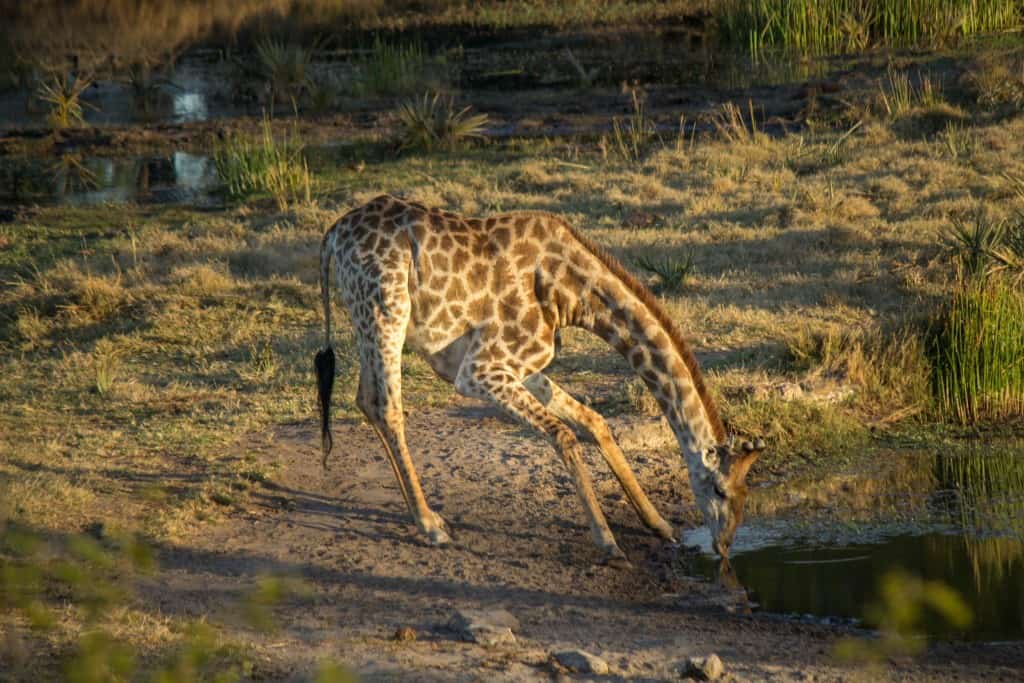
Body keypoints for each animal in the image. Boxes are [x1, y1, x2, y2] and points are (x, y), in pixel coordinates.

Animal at [315, 193, 765, 565]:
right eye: (720, 490)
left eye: (747, 493)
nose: (725, 546)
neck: (573, 294)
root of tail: (334, 233)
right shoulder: (479, 369)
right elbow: (563, 434)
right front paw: (609, 544)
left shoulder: (524, 365)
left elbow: (593, 422)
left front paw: (661, 526)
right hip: (386, 309)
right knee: (386, 406)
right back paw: (431, 525)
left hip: (367, 317)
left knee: (365, 398)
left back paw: (420, 516)